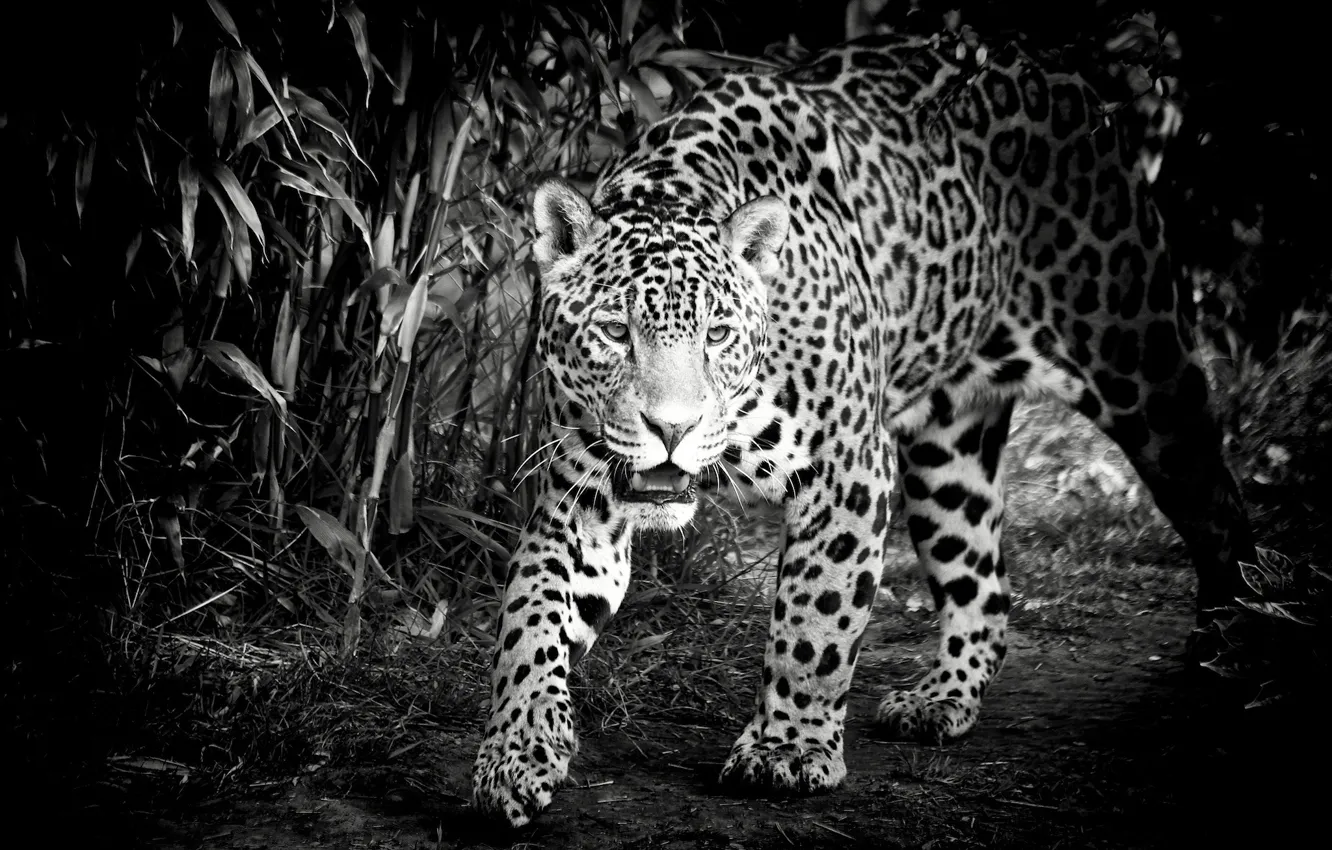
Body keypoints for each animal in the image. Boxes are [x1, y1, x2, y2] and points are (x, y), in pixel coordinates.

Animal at [469, 33, 1255, 826]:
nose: (671, 428)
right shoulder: (578, 501)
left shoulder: (846, 469)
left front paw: (787, 749)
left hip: (1143, 368)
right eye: (613, 331)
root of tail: (1050, 66)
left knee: (1216, 501)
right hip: (948, 457)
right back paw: (941, 699)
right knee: (985, 582)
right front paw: (517, 752)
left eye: (718, 334)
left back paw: (1233, 641)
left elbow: (814, 621)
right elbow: (528, 623)